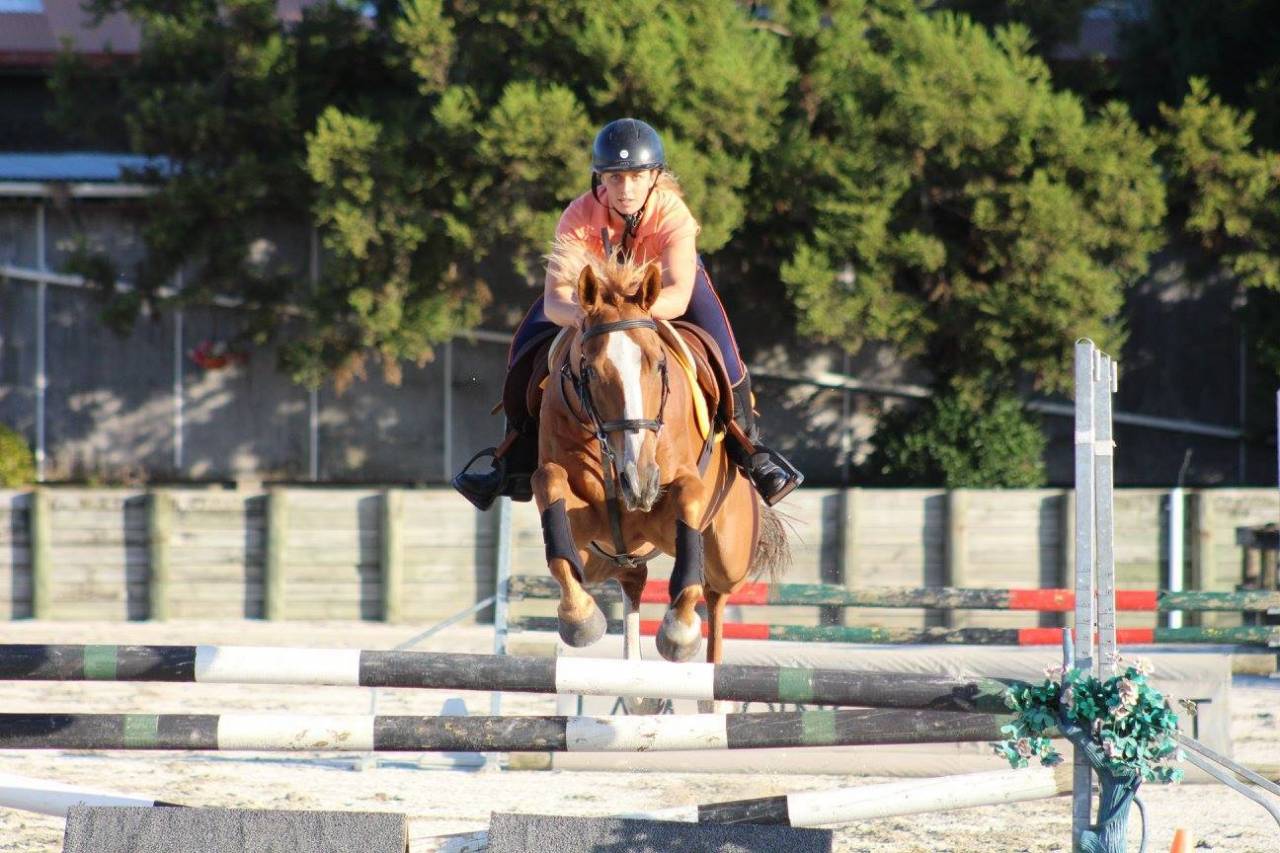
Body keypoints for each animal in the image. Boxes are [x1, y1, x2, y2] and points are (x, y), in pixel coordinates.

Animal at [532, 242, 789, 707]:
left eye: (657, 365)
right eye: (590, 371)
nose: (640, 483)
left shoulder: (682, 494)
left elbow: (688, 506)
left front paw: (678, 632)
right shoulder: (577, 517)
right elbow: (551, 490)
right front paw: (579, 618)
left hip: (729, 554)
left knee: (715, 599)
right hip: (608, 557)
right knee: (632, 582)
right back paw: (636, 690)